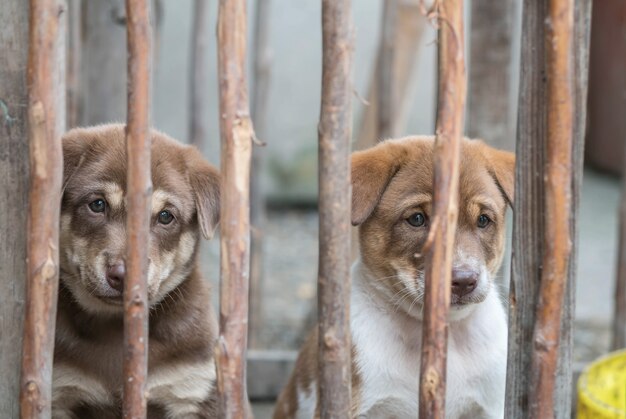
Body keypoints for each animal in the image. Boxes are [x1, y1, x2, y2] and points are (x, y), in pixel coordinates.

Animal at [52, 124, 221, 419]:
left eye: (165, 216)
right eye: (97, 204)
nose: (123, 276)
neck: (115, 325)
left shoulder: (192, 388)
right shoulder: (62, 390)